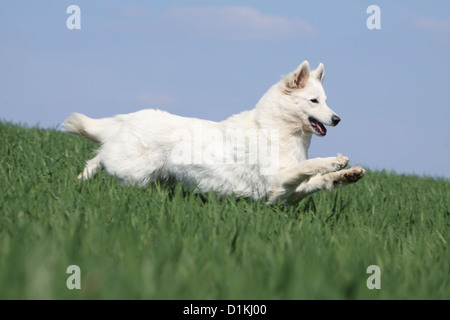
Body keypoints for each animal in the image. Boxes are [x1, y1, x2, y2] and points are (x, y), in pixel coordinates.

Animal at [63, 61, 364, 204]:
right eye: (314, 101)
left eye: (326, 101)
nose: (337, 119)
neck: (275, 130)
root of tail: (129, 117)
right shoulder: (277, 182)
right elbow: (312, 165)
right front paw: (336, 161)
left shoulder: (283, 195)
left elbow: (320, 181)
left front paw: (348, 174)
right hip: (132, 171)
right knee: (99, 157)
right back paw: (81, 179)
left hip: (146, 178)